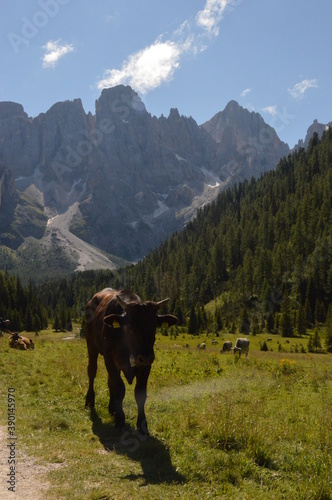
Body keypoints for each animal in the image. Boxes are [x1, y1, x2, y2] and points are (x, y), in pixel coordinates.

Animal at [85, 290, 179, 434]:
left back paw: (112, 408)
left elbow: (140, 392)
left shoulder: (146, 365)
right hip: (91, 346)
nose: (146, 356)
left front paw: (142, 424)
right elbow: (119, 388)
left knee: (110, 381)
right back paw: (90, 401)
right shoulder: (109, 358)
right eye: (131, 328)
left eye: (154, 327)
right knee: (92, 371)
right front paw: (120, 419)